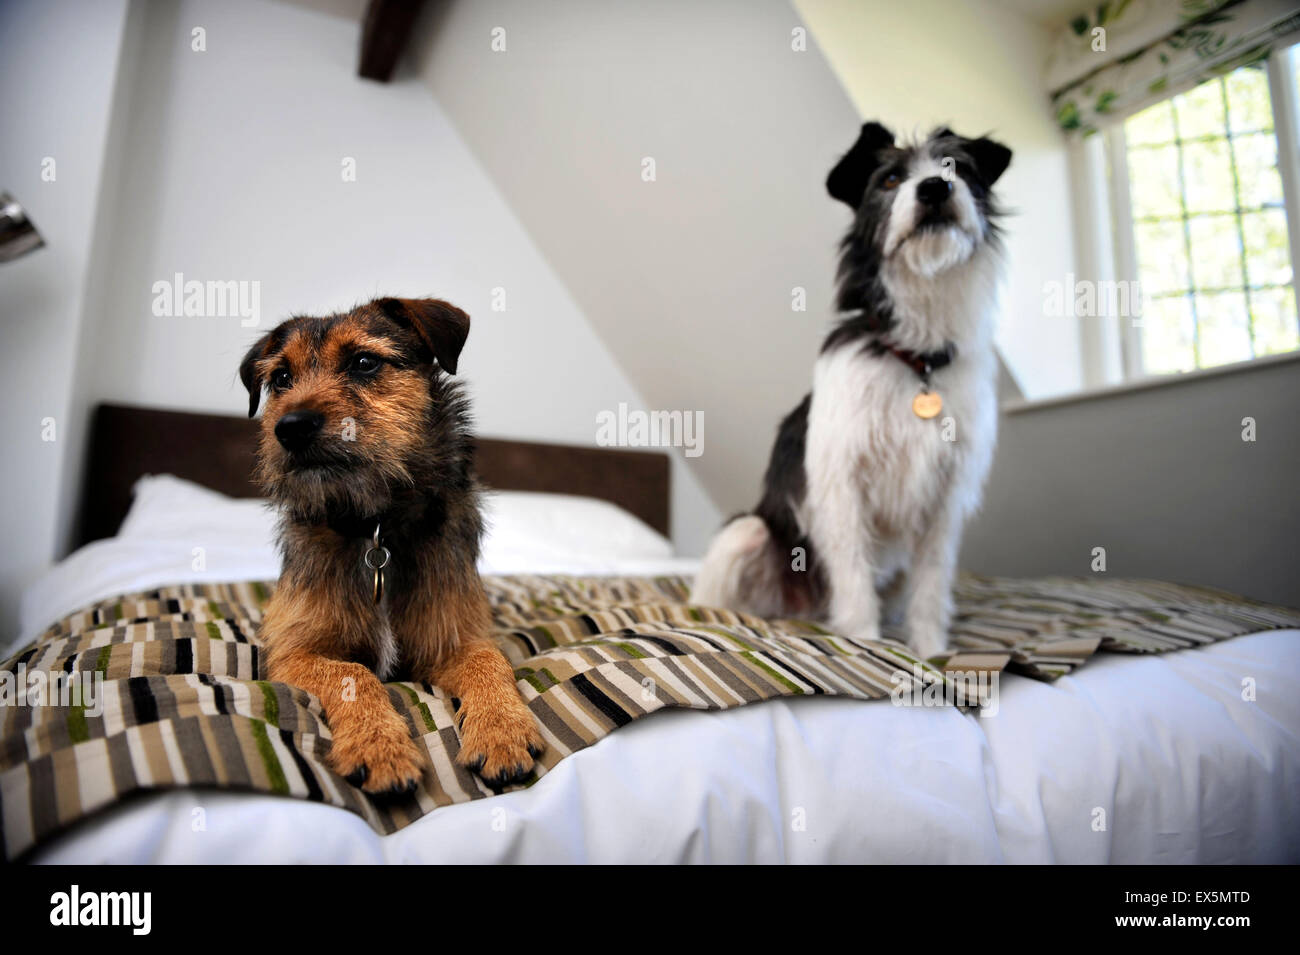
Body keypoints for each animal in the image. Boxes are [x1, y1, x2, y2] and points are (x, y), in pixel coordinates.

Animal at [239, 297, 543, 789]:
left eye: (364, 362)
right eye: (281, 378)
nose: (291, 428)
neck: (375, 529)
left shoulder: (451, 638)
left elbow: (489, 659)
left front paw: (502, 731)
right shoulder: (293, 653)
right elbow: (353, 673)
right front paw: (379, 746)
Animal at [696, 123, 1008, 660]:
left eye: (957, 168)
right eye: (889, 180)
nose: (934, 189)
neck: (915, 356)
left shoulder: (944, 498)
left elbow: (931, 586)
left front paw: (930, 652)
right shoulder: (842, 483)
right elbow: (855, 576)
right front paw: (865, 645)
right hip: (745, 533)